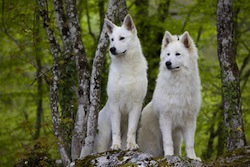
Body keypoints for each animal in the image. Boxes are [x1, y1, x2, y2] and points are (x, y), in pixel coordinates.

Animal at [94, 14, 147, 153]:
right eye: (112, 39)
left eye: (122, 38)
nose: (112, 49)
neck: (126, 67)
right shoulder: (115, 104)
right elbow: (116, 131)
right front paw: (115, 146)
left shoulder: (136, 105)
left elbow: (132, 130)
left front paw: (132, 145)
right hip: (103, 139)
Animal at [138, 31, 202, 160]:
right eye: (168, 54)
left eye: (178, 54)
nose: (167, 63)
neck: (178, 83)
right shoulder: (166, 118)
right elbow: (168, 142)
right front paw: (168, 156)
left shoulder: (189, 119)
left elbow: (190, 144)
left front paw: (192, 158)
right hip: (153, 144)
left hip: (177, 136)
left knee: (177, 147)